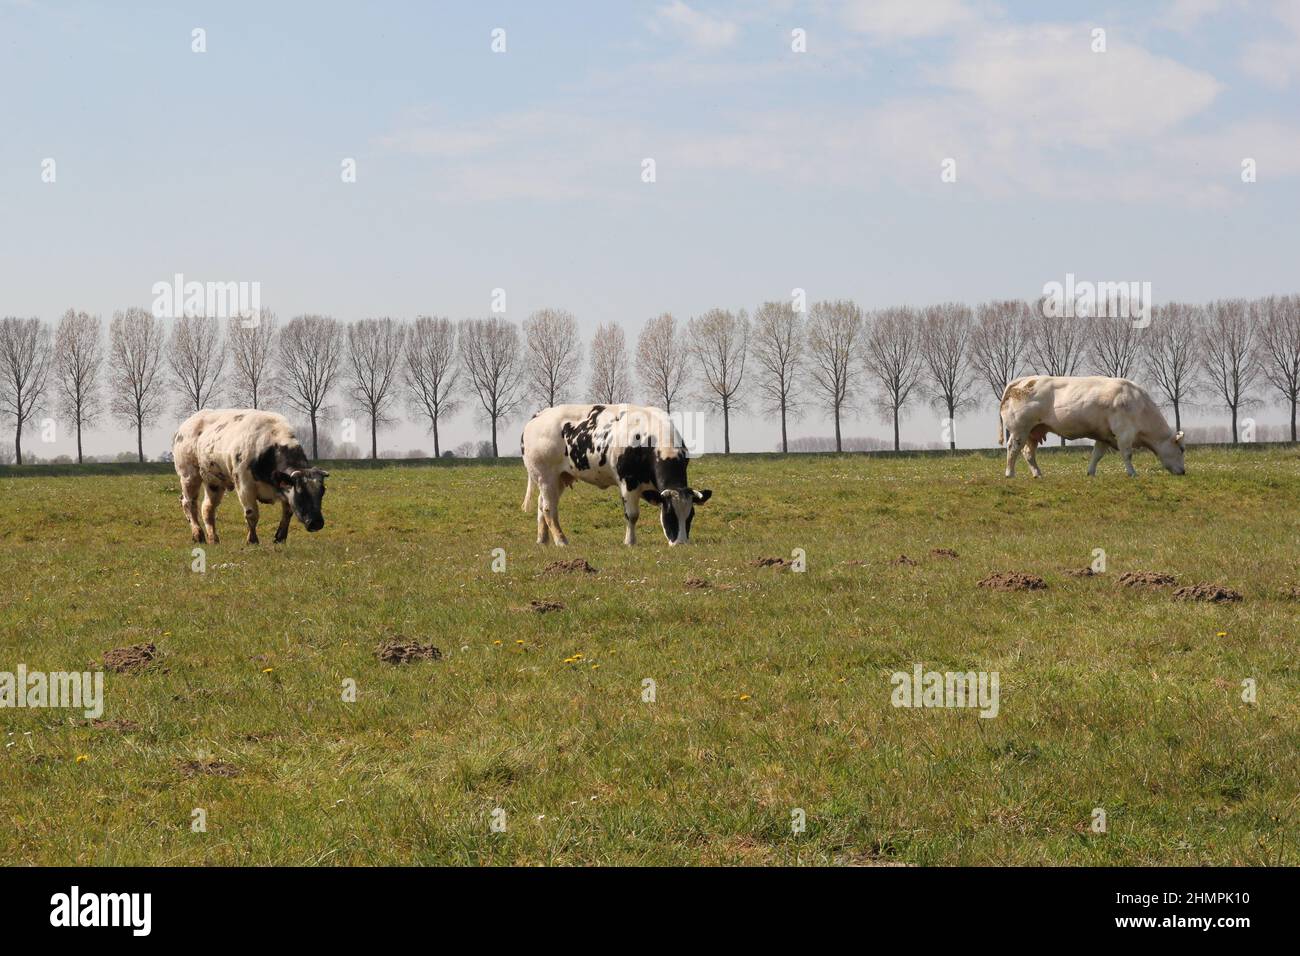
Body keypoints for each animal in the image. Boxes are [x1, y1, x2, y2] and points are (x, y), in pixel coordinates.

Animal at [171, 408, 330, 546]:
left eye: (322, 492)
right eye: (301, 493)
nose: (316, 522)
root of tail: (186, 425)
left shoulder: (284, 489)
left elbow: (288, 512)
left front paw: (280, 538)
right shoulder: (244, 484)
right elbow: (252, 514)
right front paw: (252, 540)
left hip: (214, 482)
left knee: (207, 508)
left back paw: (213, 539)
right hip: (189, 475)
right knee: (189, 503)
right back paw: (198, 535)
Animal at [522, 403, 717, 546]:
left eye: (691, 515)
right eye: (669, 514)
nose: (681, 543)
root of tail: (539, 415)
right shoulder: (628, 482)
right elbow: (632, 515)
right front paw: (630, 542)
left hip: (559, 477)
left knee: (541, 504)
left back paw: (543, 539)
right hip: (545, 476)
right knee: (549, 509)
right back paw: (561, 540)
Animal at [993, 374, 1190, 478]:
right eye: (1181, 449)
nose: (1183, 471)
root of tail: (1023, 380)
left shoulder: (1104, 435)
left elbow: (1097, 455)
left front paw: (1091, 473)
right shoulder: (1124, 433)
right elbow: (1127, 454)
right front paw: (1132, 473)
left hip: (1034, 432)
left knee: (1028, 453)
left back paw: (1038, 474)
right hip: (1019, 429)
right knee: (1013, 449)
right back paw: (1010, 473)